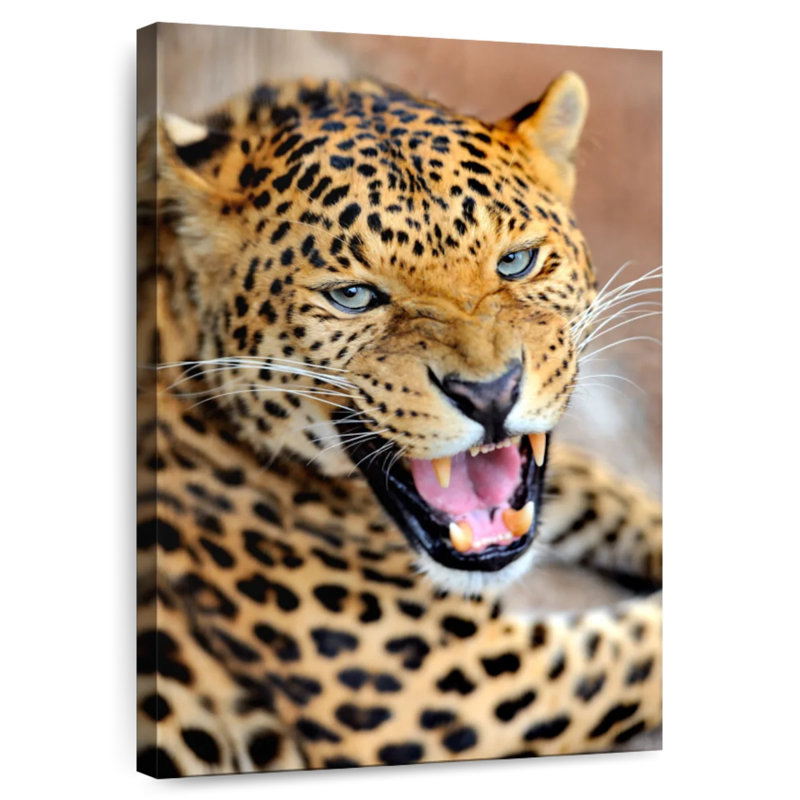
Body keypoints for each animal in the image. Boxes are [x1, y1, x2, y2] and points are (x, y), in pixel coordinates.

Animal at [136, 72, 662, 777]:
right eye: (353, 296)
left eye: (517, 262)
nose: (489, 395)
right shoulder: (462, 693)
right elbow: (647, 644)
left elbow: (608, 492)